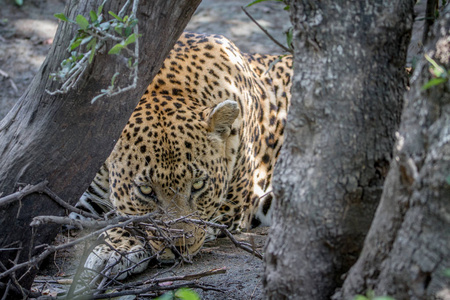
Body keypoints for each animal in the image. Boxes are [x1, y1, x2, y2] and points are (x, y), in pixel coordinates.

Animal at [78, 31, 292, 280]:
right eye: (146, 191)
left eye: (198, 185)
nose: (178, 247)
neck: (164, 88)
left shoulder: (231, 207)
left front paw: (115, 248)